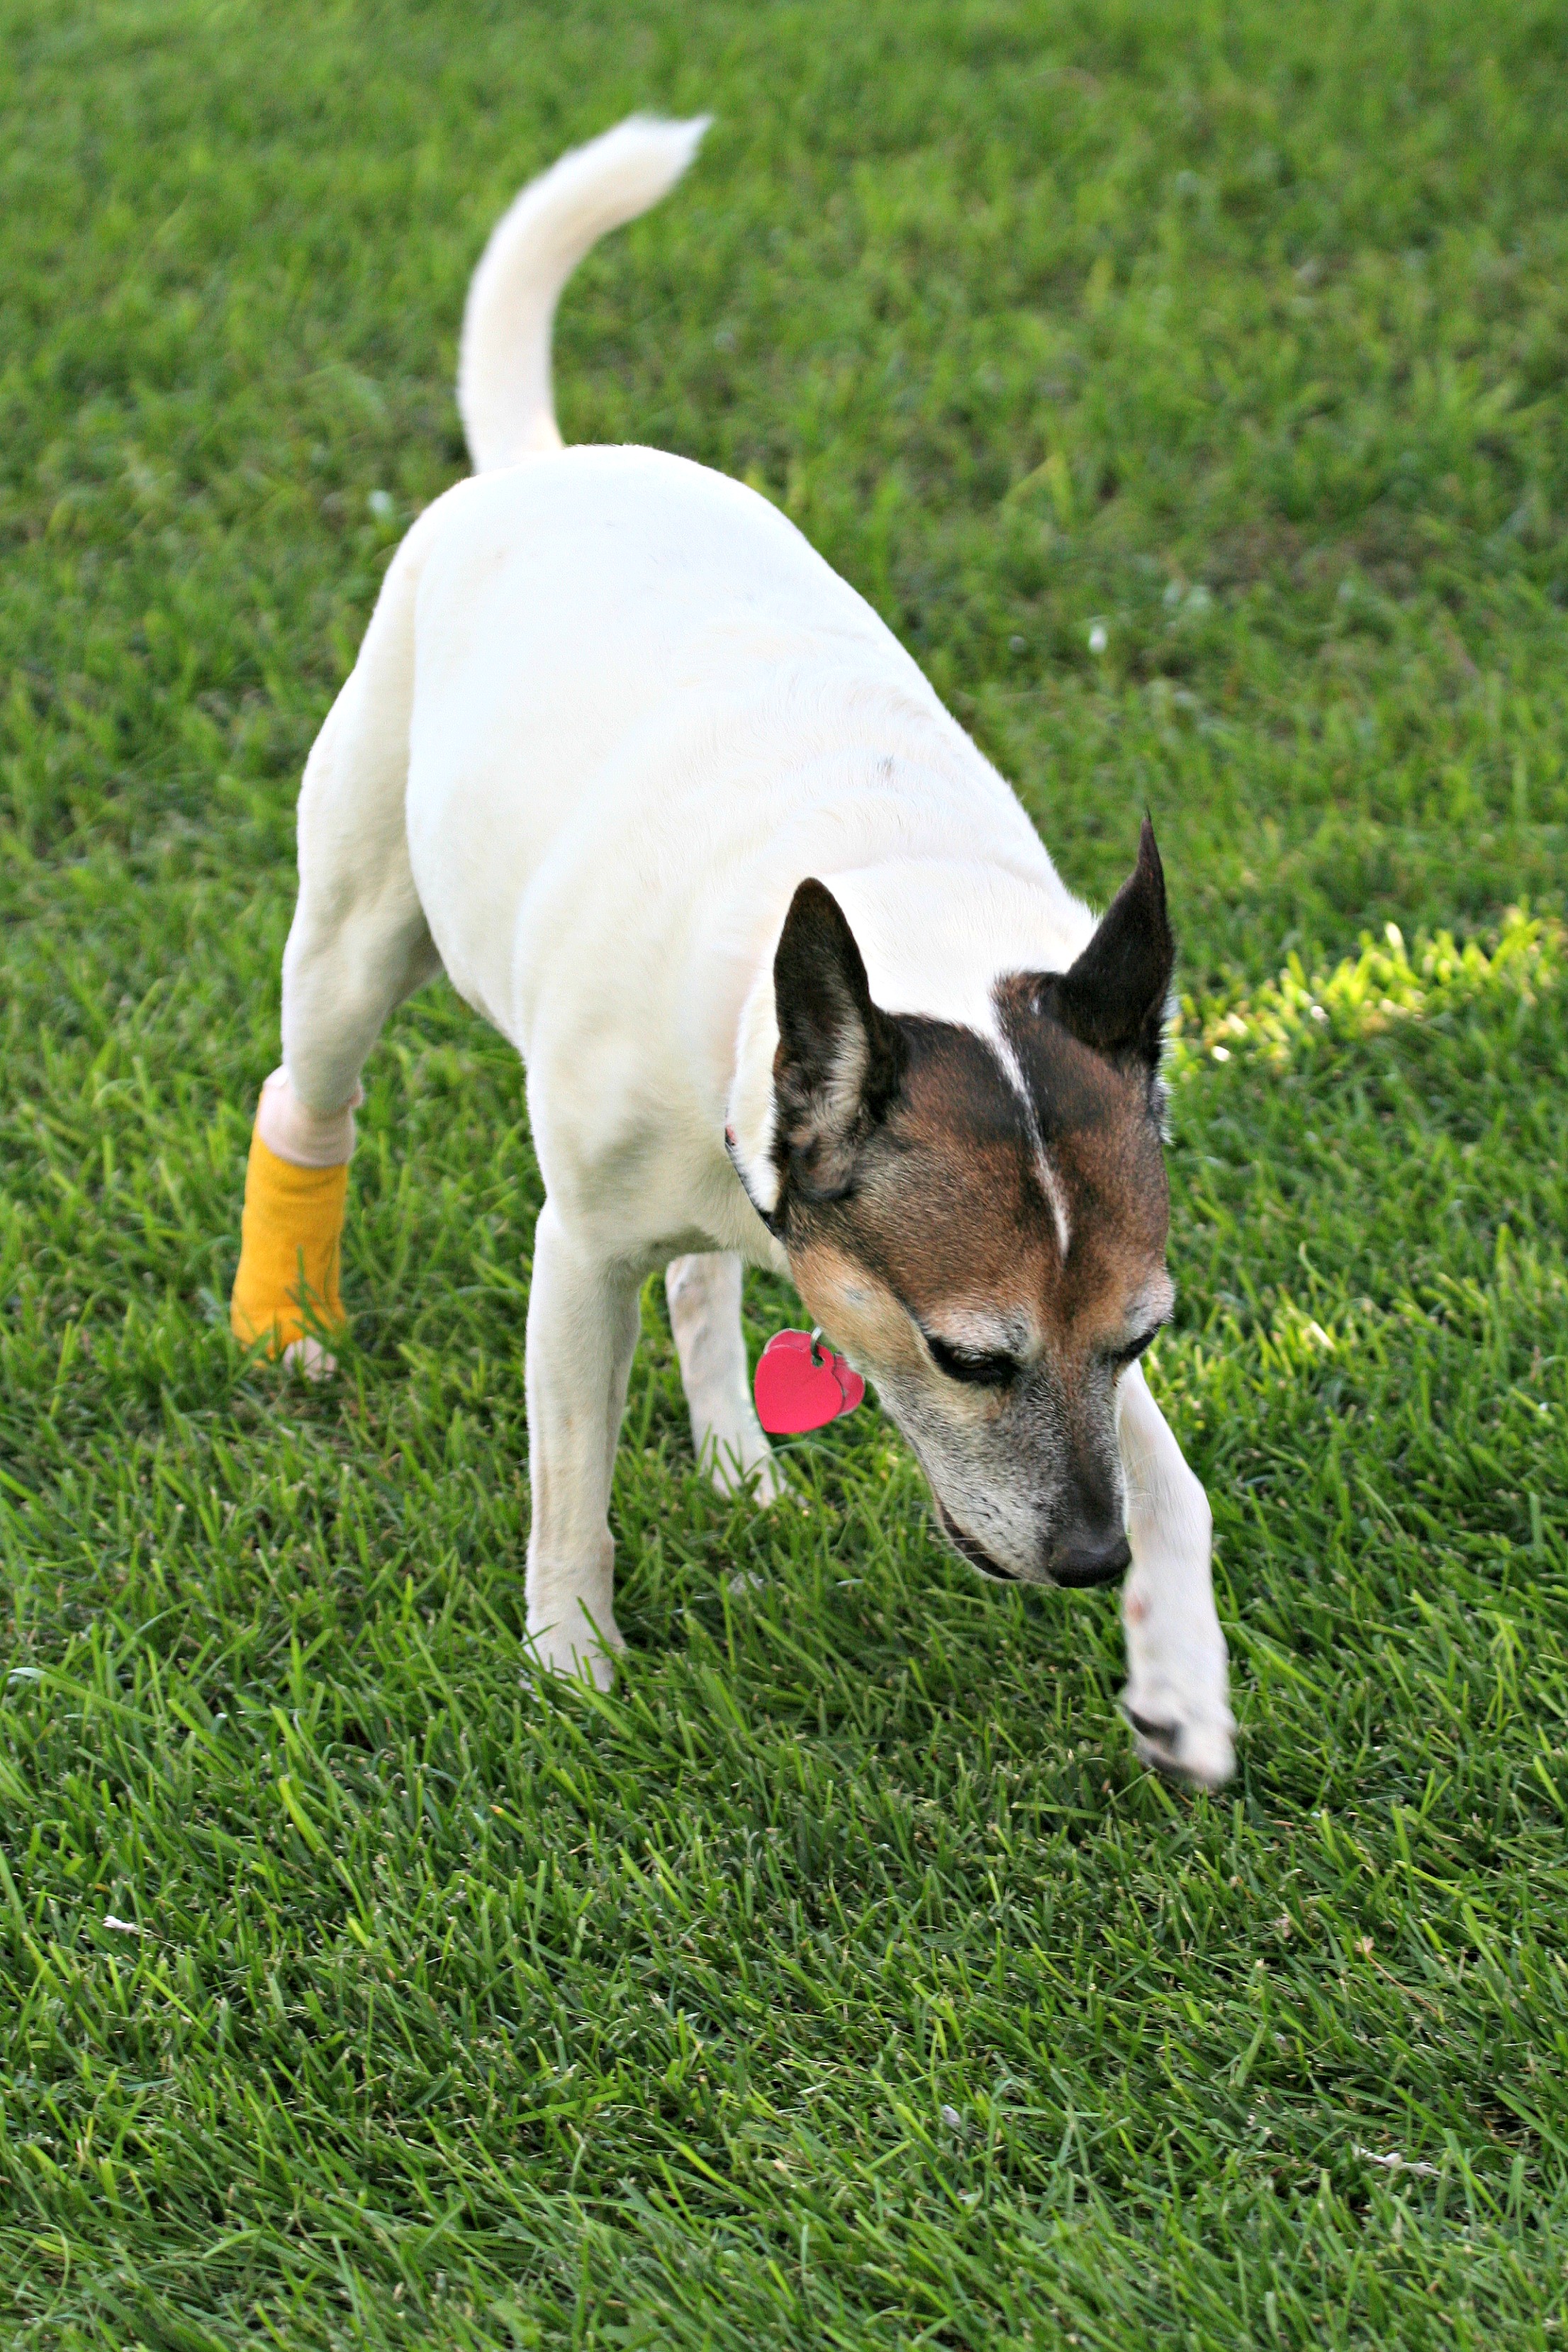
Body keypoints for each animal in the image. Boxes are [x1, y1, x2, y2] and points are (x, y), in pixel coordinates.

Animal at [230, 116, 1235, 1788]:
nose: (1091, 1562)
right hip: (356, 932)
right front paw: (571, 1662)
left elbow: (1179, 1485)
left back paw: (735, 1452)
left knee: (702, 1283)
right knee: (307, 1101)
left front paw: (1183, 1679)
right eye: (969, 1360)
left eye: (1141, 1337)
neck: (888, 912)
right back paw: (286, 1321)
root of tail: (545, 463)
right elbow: (568, 1477)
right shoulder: (575, 1254)